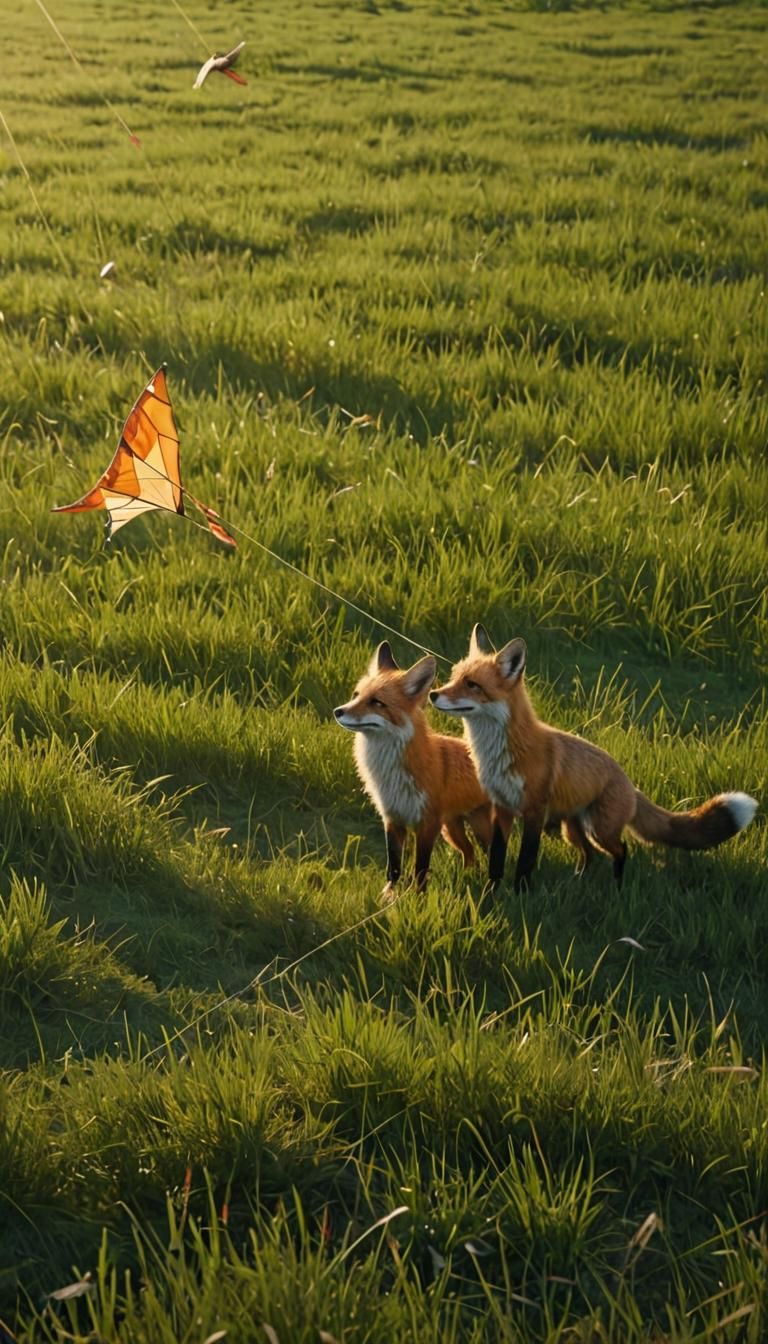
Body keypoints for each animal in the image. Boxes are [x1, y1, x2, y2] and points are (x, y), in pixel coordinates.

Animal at [334, 642, 493, 892]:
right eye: (356, 695)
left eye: (377, 703)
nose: (338, 711)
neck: (390, 773)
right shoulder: (393, 818)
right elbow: (394, 866)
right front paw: (389, 895)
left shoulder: (427, 824)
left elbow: (420, 867)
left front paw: (417, 895)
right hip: (451, 830)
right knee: (470, 854)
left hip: (479, 828)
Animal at [430, 624, 758, 892]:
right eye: (453, 677)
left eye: (472, 685)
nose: (433, 694)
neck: (501, 752)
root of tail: (629, 783)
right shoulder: (502, 807)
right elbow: (497, 858)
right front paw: (493, 891)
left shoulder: (534, 810)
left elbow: (525, 860)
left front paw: (520, 893)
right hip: (573, 828)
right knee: (589, 855)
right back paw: (578, 881)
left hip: (600, 828)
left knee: (621, 850)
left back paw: (617, 887)